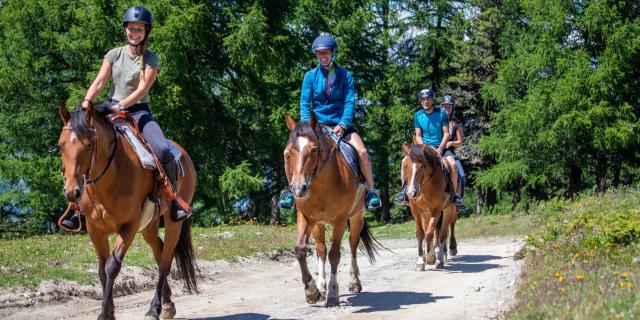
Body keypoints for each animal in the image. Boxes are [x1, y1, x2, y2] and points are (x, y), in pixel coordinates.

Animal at [57, 103, 198, 320]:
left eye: (88, 146)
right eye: (61, 146)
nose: (72, 192)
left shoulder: (129, 226)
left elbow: (112, 266)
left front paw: (105, 313)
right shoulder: (95, 230)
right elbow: (101, 270)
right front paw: (109, 311)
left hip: (173, 223)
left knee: (165, 261)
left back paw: (154, 309)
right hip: (149, 226)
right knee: (159, 253)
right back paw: (167, 305)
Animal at [284, 114, 380, 306]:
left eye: (314, 150)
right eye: (289, 152)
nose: (298, 189)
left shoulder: (341, 220)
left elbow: (335, 254)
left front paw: (334, 293)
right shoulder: (306, 217)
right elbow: (300, 249)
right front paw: (312, 291)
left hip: (357, 217)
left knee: (353, 245)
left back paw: (354, 282)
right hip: (318, 224)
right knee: (321, 249)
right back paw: (321, 286)